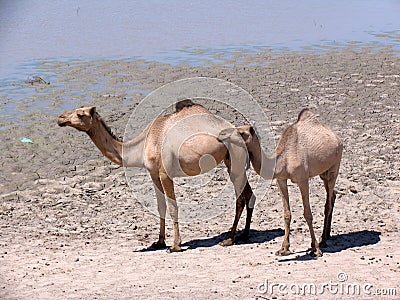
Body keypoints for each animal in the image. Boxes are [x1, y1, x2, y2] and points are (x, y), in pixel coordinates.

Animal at [57, 100, 255, 251]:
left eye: (80, 114)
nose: (61, 118)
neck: (144, 143)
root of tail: (240, 131)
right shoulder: (153, 173)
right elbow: (161, 206)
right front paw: (159, 242)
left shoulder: (165, 173)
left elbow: (173, 206)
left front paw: (175, 245)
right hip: (231, 161)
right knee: (248, 194)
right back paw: (244, 234)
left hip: (235, 158)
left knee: (240, 198)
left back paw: (229, 239)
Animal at [219, 109, 344, 256]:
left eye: (241, 132)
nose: (221, 134)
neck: (283, 159)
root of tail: (337, 138)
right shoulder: (281, 179)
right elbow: (286, 214)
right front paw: (284, 248)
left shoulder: (302, 179)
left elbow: (307, 213)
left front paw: (316, 249)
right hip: (323, 172)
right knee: (332, 195)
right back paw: (326, 235)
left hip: (335, 166)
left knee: (328, 202)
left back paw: (323, 240)